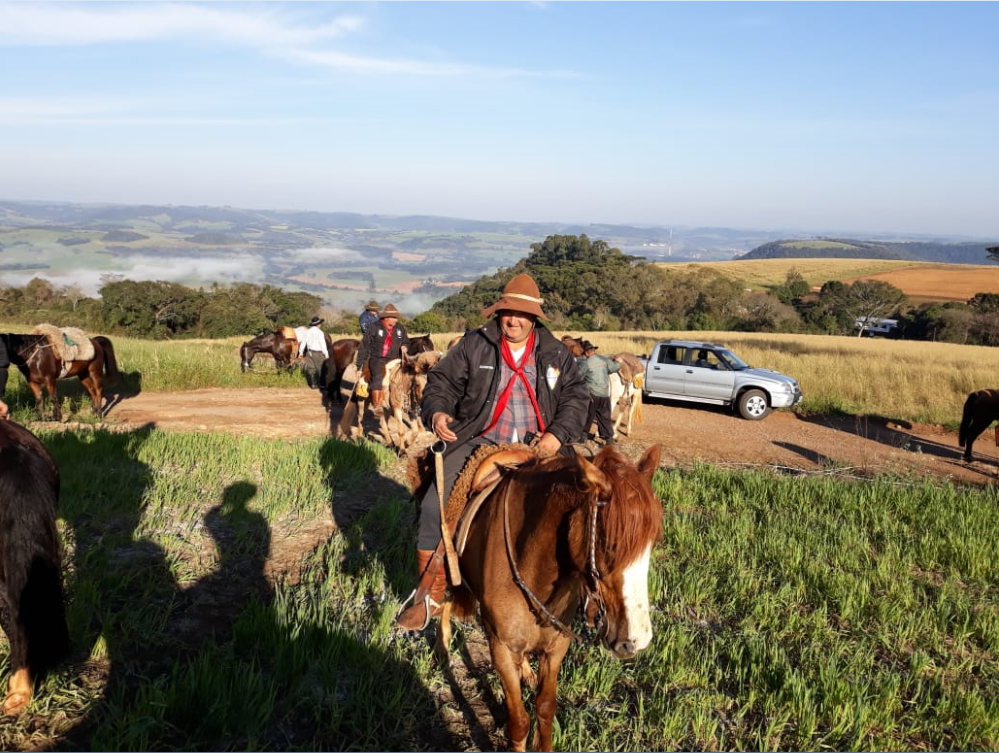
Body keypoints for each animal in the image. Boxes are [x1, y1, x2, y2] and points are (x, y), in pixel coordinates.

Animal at [440, 444, 664, 748]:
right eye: (610, 544)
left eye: (652, 542)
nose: (637, 640)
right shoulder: (500, 648)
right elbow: (519, 722)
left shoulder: (556, 647)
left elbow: (545, 709)